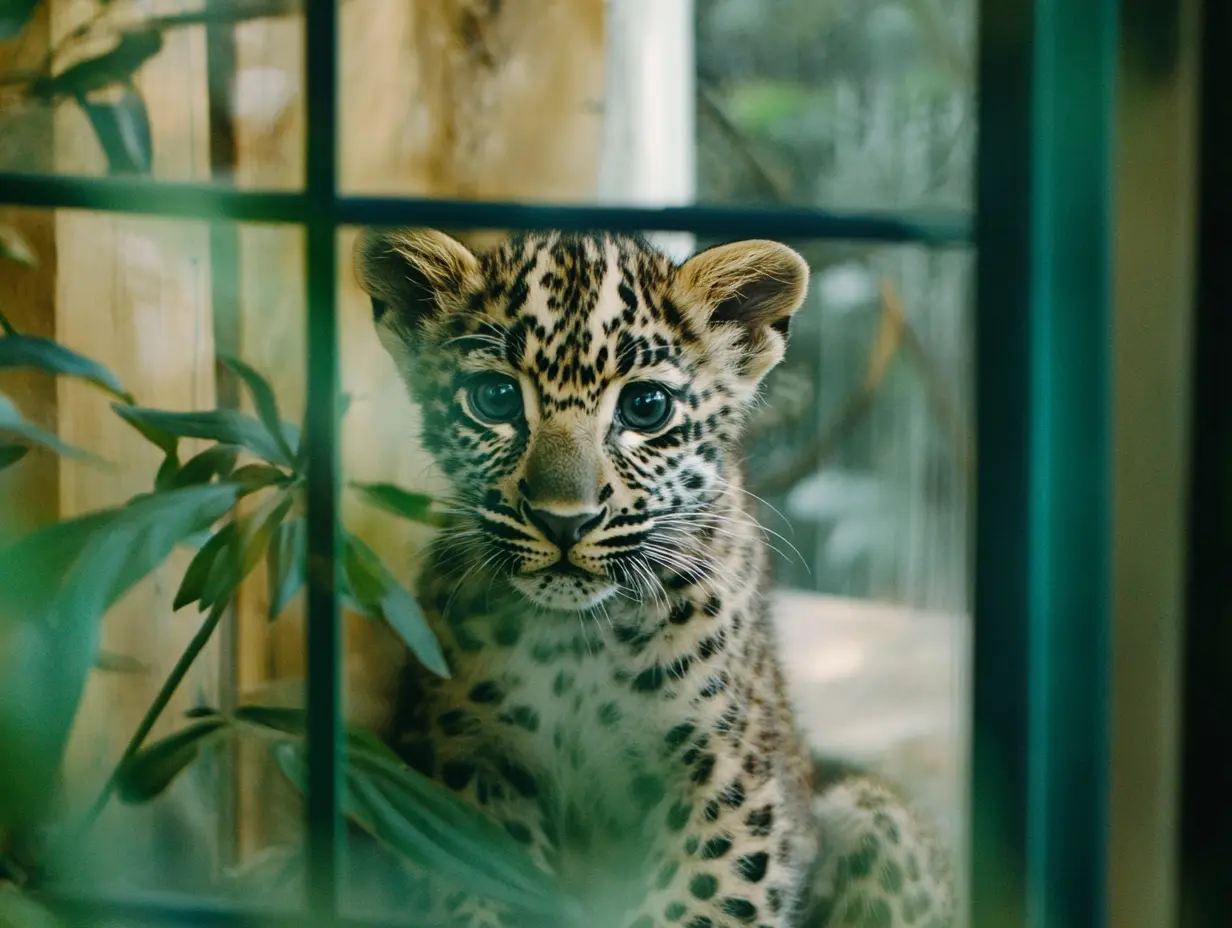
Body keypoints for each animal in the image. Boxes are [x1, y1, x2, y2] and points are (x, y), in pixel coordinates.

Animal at [352, 226, 956, 928]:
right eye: (495, 399)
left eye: (646, 408)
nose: (564, 521)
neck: (577, 642)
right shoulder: (464, 766)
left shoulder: (735, 786)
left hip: (875, 815)